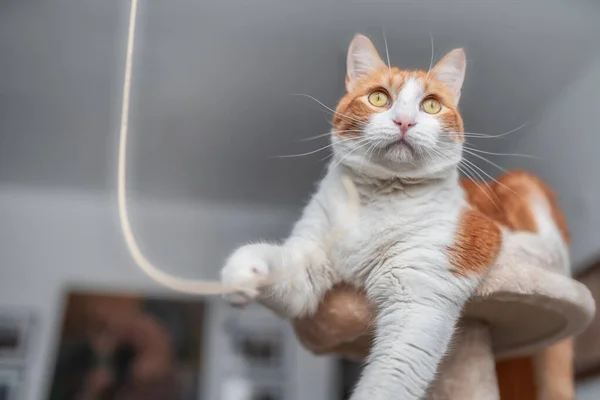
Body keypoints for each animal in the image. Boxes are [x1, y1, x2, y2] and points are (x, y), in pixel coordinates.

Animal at [219, 34, 568, 400]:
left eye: (431, 105)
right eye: (378, 98)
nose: (404, 121)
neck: (379, 199)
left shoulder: (420, 295)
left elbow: (390, 377)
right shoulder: (310, 266)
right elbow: (280, 264)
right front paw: (242, 272)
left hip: (522, 186)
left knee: (550, 248)